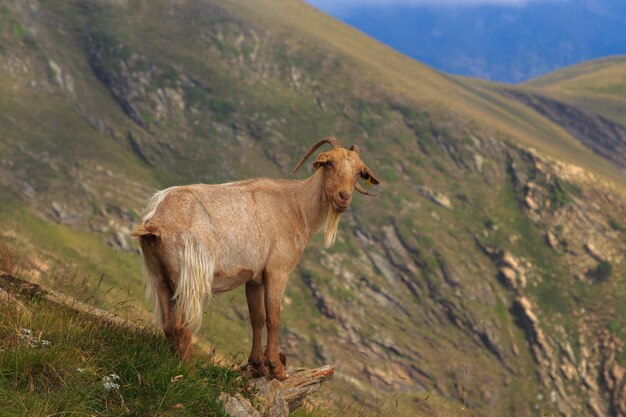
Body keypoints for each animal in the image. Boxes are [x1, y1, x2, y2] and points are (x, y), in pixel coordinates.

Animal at [131, 136, 378, 376]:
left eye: (359, 172)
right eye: (330, 163)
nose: (343, 197)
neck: (295, 207)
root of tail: (156, 222)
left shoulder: (254, 278)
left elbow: (257, 317)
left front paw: (258, 364)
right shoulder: (278, 271)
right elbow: (273, 317)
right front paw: (277, 368)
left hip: (159, 274)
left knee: (168, 325)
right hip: (189, 277)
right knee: (182, 326)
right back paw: (189, 373)